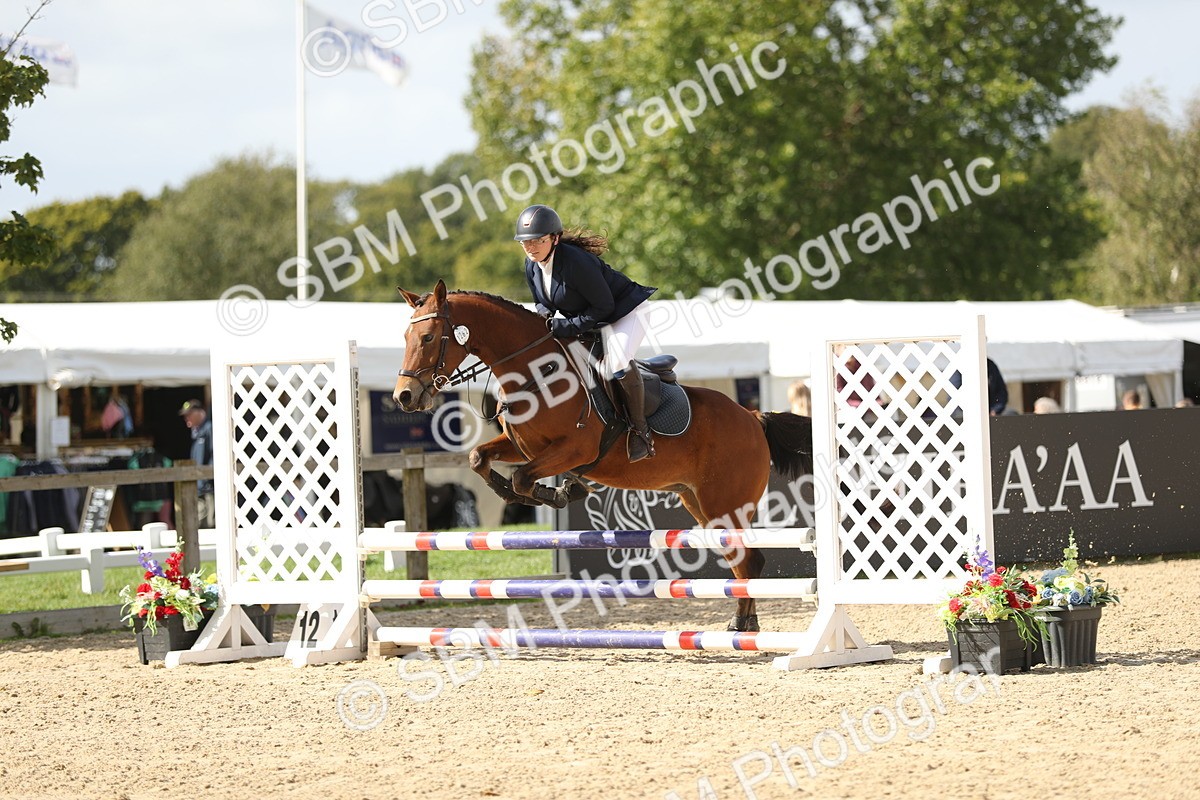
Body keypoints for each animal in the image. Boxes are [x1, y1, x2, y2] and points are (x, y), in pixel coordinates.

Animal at [392, 280, 813, 632]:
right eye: (406, 335)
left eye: (428, 337)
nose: (404, 397)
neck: (534, 372)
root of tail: (753, 417)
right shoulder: (522, 445)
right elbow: (479, 459)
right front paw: (538, 492)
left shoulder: (574, 448)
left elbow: (523, 477)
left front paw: (560, 493)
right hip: (699, 502)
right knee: (741, 559)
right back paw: (744, 622)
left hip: (725, 503)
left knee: (749, 560)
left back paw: (743, 625)